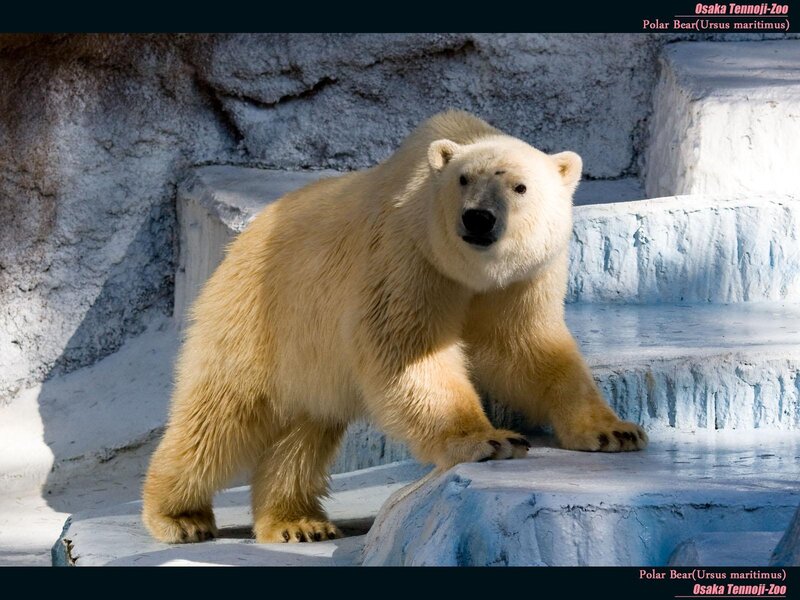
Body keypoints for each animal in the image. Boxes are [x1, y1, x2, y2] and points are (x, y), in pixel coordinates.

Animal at [142, 110, 647, 545]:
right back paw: (178, 517)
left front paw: (615, 432)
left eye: (520, 187)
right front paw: (489, 439)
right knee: (220, 418)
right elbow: (409, 353)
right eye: (463, 180)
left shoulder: (522, 279)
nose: (478, 218)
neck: (470, 271)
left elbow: (530, 350)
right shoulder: (408, 257)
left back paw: (297, 522)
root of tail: (236, 244)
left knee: (303, 430)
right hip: (257, 318)